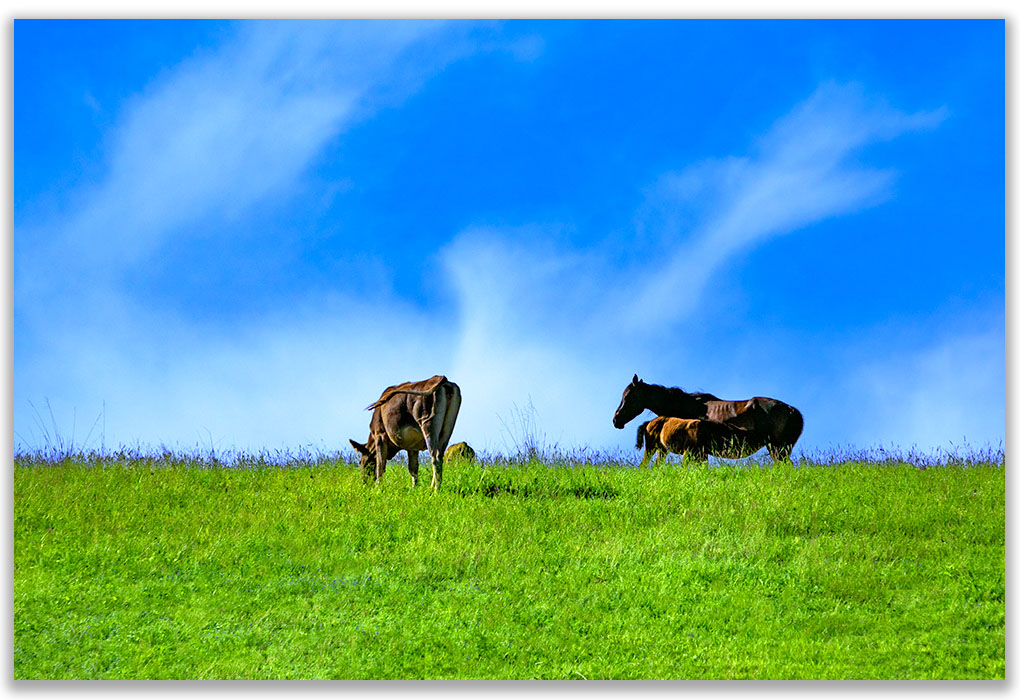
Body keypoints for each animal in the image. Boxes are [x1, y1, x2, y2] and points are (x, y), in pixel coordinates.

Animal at [632, 416, 767, 465]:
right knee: (644, 462)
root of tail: (648, 423)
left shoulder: (702, 455)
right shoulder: (688, 452)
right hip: (650, 447)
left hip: (663, 449)